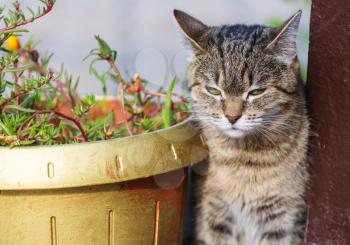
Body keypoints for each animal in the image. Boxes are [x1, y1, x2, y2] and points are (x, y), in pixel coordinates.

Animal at [174, 8, 308, 244]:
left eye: (256, 91)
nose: (232, 116)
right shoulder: (214, 215)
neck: (243, 160)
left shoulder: (282, 219)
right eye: (213, 90)